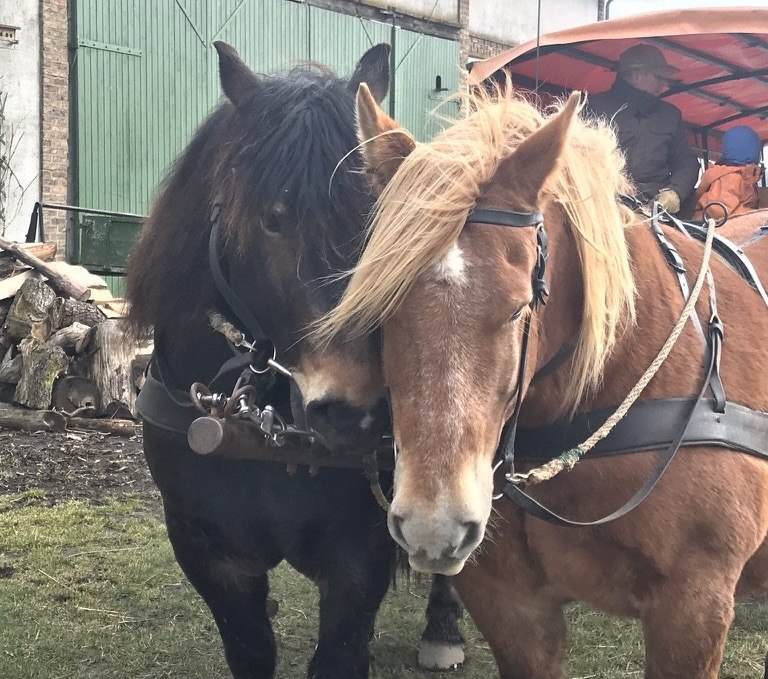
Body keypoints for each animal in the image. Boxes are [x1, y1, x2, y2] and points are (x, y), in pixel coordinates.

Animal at [126, 42, 462, 679]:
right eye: (271, 219)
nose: (362, 412)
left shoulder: (357, 554)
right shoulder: (212, 556)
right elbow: (251, 648)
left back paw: (444, 627)